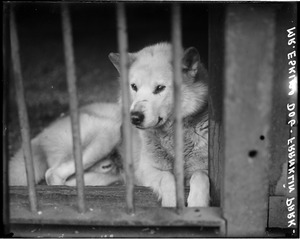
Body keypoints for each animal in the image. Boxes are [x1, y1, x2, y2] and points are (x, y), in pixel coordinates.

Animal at [9, 43, 211, 207]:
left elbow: (200, 177)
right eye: (134, 87)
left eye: (160, 88)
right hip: (109, 132)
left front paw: (197, 205)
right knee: (53, 174)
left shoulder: (203, 168)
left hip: (107, 171)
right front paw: (172, 204)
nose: (134, 117)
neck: (174, 137)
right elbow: (167, 178)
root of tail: (41, 134)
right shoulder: (147, 170)